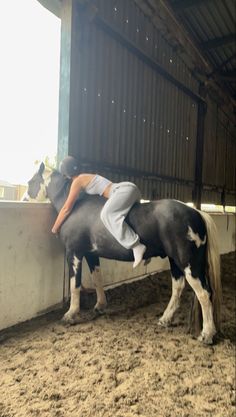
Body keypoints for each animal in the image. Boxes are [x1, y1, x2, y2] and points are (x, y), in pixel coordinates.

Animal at [26, 164, 222, 342]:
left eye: (31, 182)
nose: (25, 198)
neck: (77, 207)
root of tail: (196, 212)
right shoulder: (91, 254)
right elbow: (97, 279)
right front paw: (100, 305)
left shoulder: (74, 253)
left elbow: (75, 284)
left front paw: (70, 314)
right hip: (175, 261)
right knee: (178, 287)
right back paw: (165, 319)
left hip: (187, 262)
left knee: (204, 294)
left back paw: (207, 334)